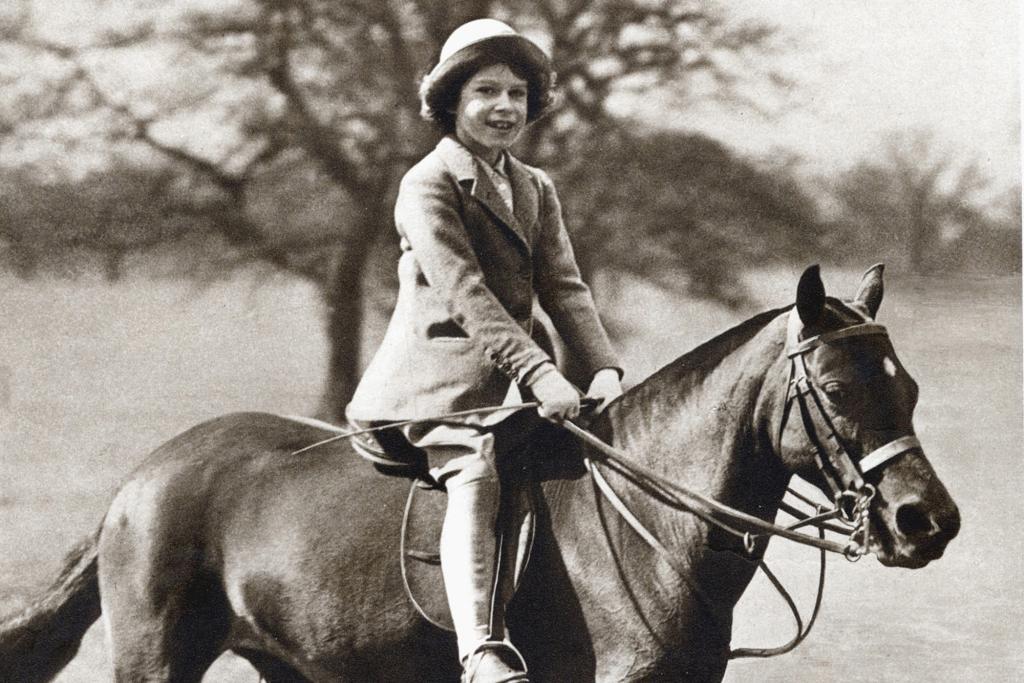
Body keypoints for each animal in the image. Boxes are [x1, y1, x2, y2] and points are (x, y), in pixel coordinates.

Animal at [0, 266, 958, 683]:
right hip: (156, 662)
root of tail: (140, 479)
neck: (652, 526)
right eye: (836, 388)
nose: (929, 522)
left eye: (909, 386)